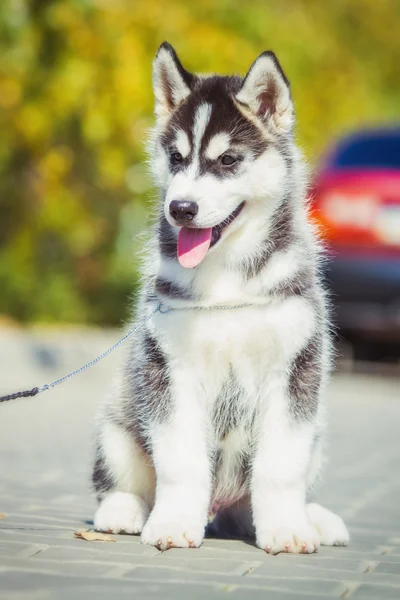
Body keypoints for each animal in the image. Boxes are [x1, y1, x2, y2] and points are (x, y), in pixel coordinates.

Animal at [92, 44, 348, 556]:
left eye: (228, 160)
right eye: (175, 157)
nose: (180, 208)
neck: (227, 278)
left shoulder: (295, 372)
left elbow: (280, 468)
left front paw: (287, 530)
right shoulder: (168, 370)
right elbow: (181, 462)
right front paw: (172, 524)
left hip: (317, 435)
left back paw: (312, 519)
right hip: (117, 420)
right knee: (122, 479)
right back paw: (123, 511)